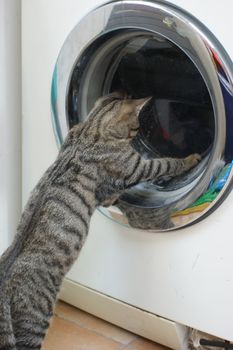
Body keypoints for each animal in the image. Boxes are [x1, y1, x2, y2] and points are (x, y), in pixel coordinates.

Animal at [0, 91, 200, 348]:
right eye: (137, 126)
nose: (139, 137)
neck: (90, 129)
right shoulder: (136, 166)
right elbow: (166, 163)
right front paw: (190, 159)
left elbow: (108, 196)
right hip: (35, 323)